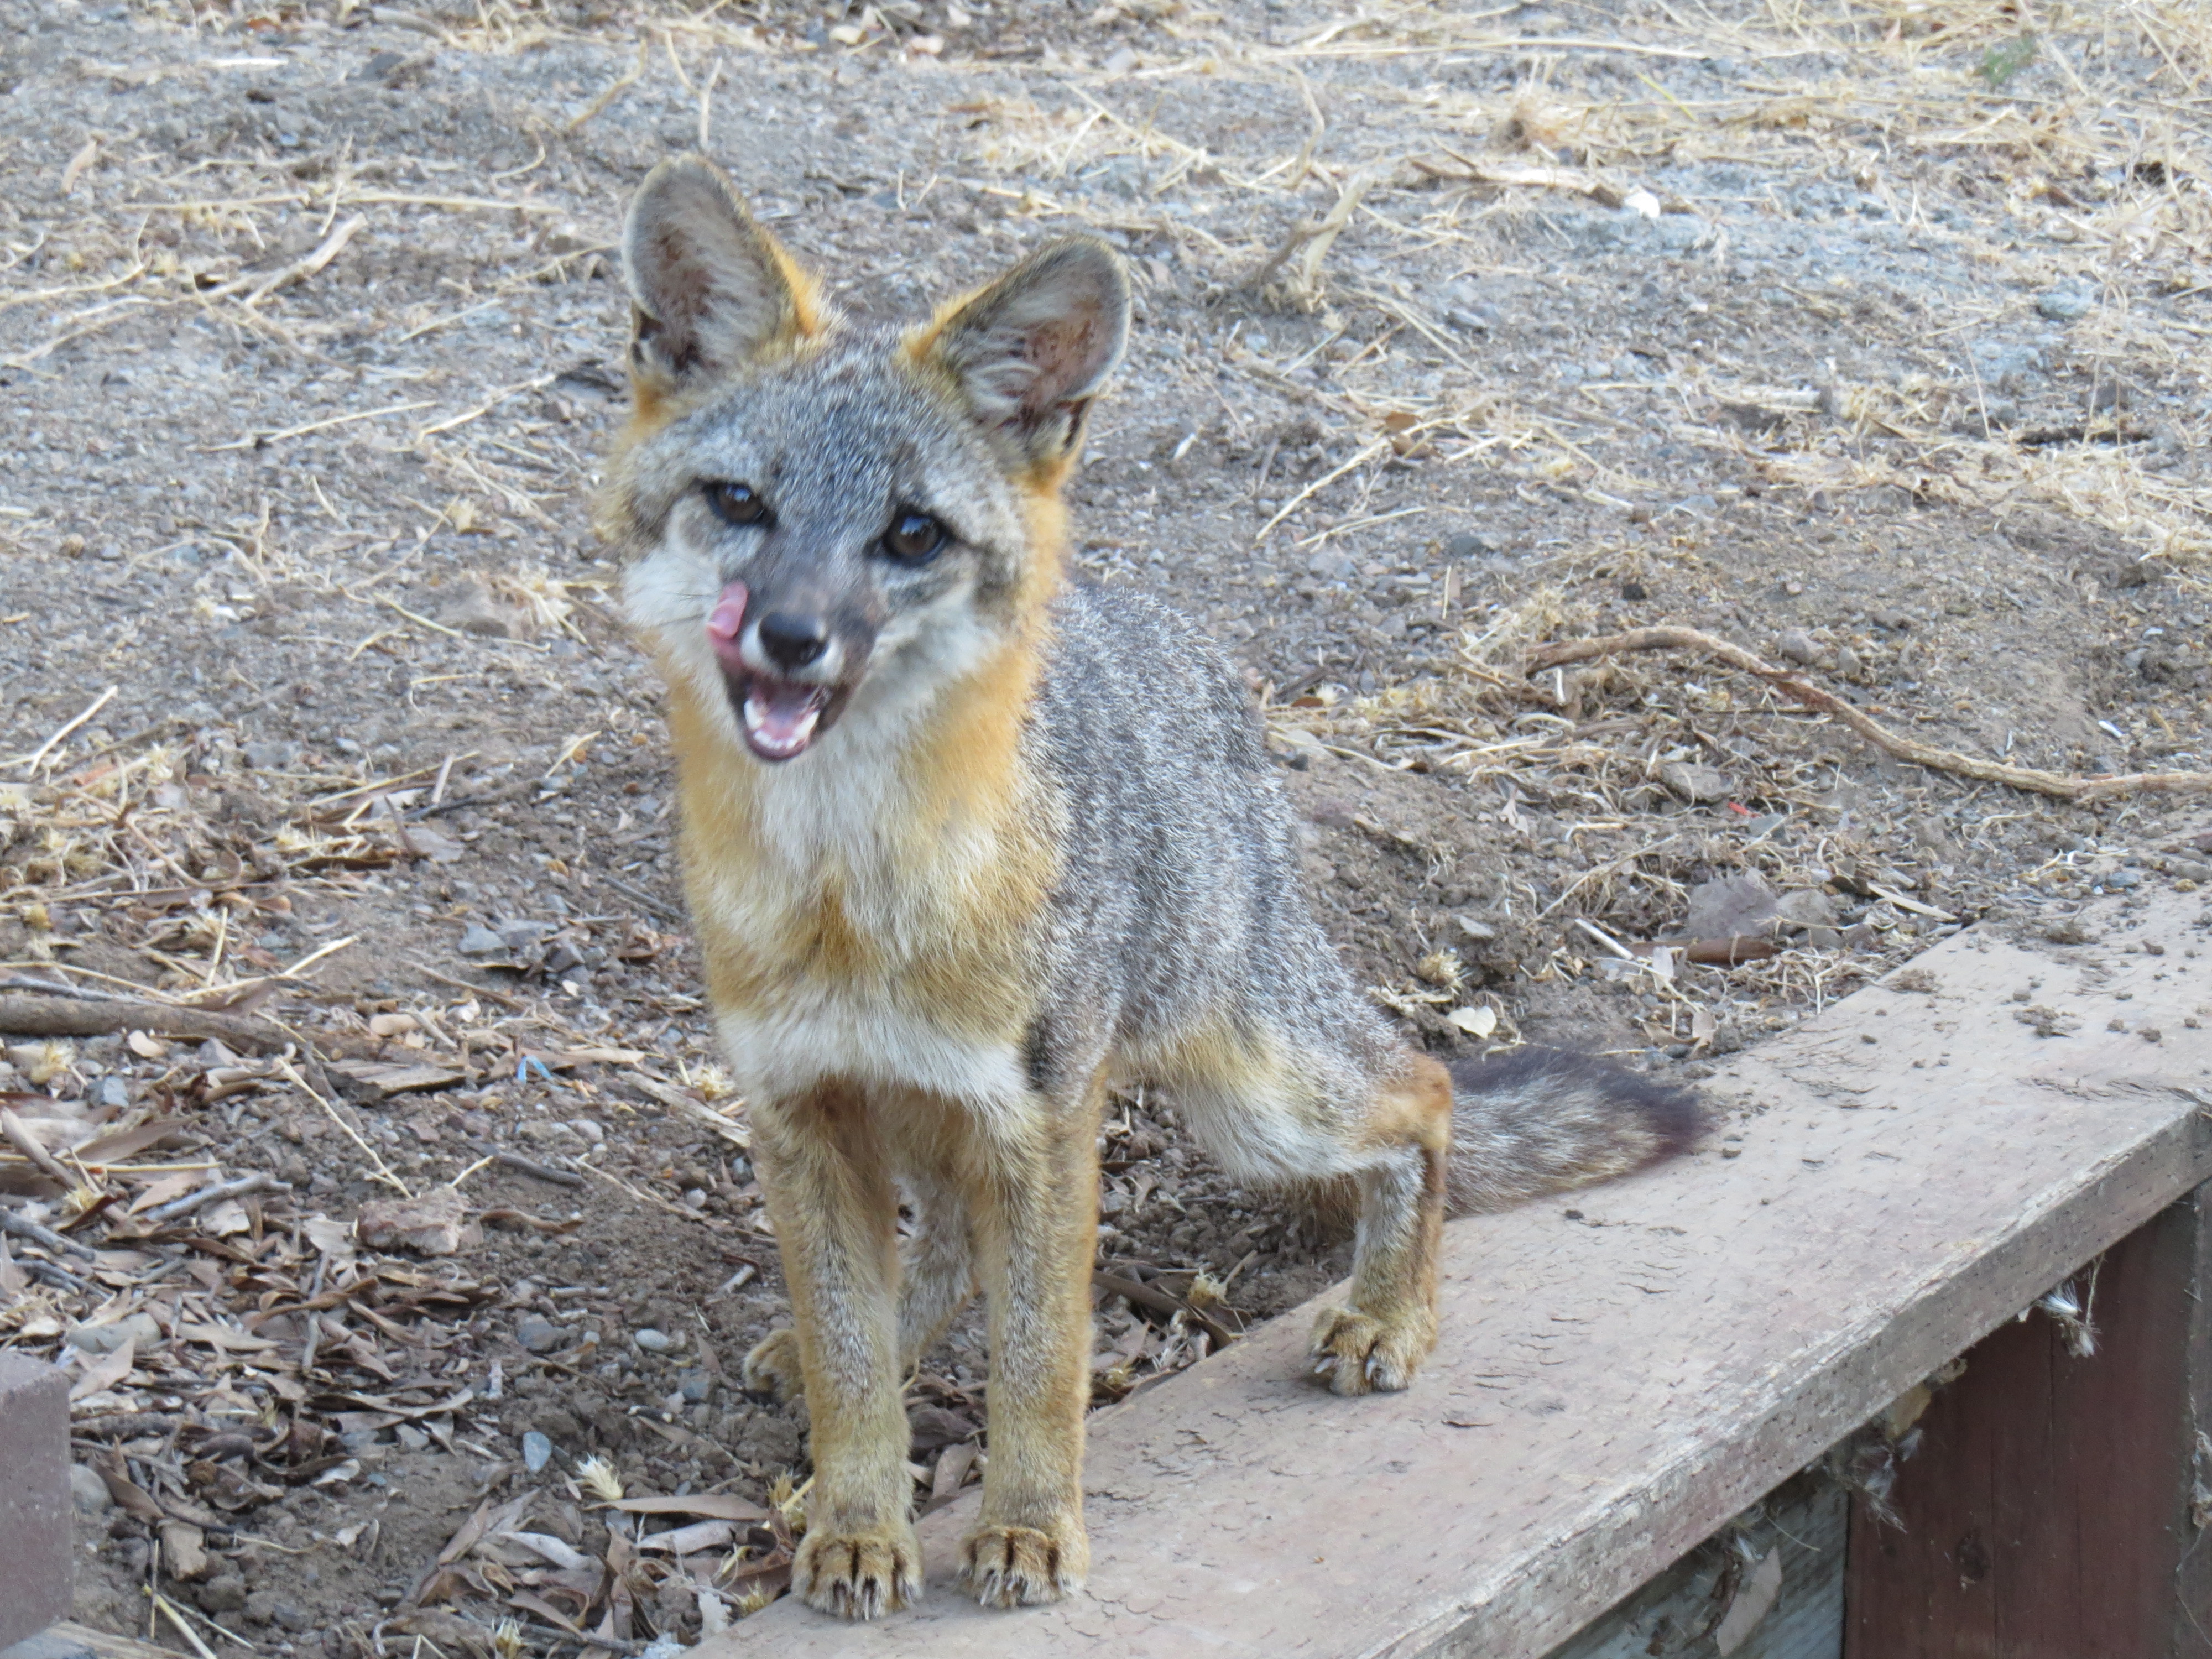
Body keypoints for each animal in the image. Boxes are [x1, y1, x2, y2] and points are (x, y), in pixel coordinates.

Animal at [600, 155, 1701, 1621]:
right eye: (739, 505)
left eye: (909, 534)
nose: (791, 636)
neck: (850, 892)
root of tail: (1178, 642)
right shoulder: (801, 1114)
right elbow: (852, 1366)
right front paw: (856, 1519)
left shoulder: (1042, 1124)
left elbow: (1039, 1362)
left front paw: (1026, 1525)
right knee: (936, 1251)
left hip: (1258, 1105)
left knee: (1426, 1089)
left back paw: (1387, 1314)